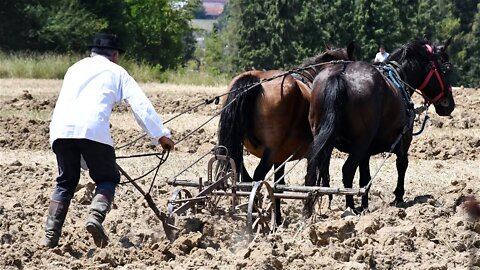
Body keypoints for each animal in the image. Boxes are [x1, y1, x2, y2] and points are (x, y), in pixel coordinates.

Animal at [218, 42, 356, 224]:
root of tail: (256, 81)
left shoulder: (280, 156)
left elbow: (280, 184)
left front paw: (278, 217)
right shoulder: (319, 149)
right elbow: (315, 177)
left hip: (241, 145)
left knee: (244, 175)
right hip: (270, 150)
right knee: (258, 176)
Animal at [306, 38, 456, 215]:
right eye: (445, 69)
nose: (449, 105)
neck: (399, 78)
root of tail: (339, 73)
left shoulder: (365, 152)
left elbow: (365, 178)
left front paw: (365, 206)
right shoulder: (404, 139)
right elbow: (402, 165)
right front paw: (398, 197)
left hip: (325, 138)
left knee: (318, 169)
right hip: (360, 142)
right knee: (347, 170)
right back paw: (350, 208)